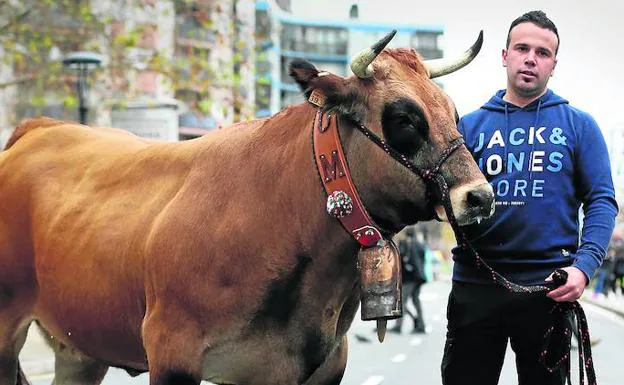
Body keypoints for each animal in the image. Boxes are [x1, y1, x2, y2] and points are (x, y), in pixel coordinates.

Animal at [1, 30, 492, 384]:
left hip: (79, 345)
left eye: (454, 113)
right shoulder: (172, 351)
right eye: (405, 119)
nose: (480, 197)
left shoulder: (320, 365)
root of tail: (39, 127)